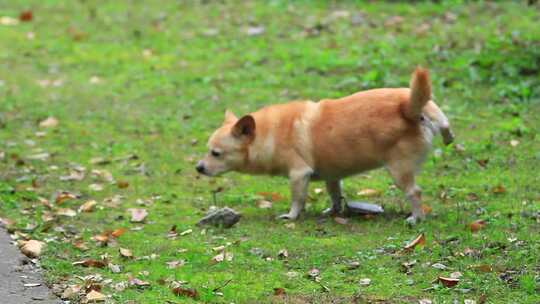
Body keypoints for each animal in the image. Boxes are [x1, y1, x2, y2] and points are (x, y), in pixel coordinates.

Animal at [197, 68, 452, 223]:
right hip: (420, 102)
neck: (269, 133)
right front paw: (334, 211)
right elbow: (335, 195)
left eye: (215, 153)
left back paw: (416, 218)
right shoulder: (332, 175)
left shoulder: (298, 175)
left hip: (399, 170)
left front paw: (291, 216)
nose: (198, 167)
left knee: (414, 192)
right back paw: (448, 135)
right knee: (445, 123)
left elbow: (297, 200)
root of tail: (408, 109)